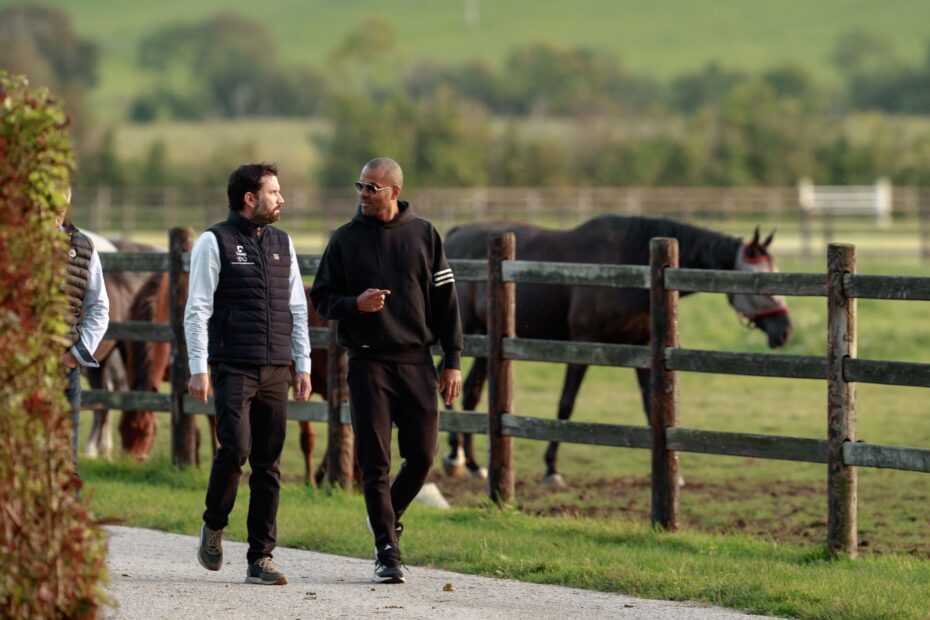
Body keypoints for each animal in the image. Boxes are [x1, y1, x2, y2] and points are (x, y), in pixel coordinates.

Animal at [442, 216, 792, 486]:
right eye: (758, 281)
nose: (785, 331)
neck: (630, 264)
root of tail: (455, 233)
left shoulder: (643, 349)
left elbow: (651, 409)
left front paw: (672, 474)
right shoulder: (582, 345)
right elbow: (565, 406)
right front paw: (551, 469)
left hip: (485, 340)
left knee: (471, 392)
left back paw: (471, 463)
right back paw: (454, 457)